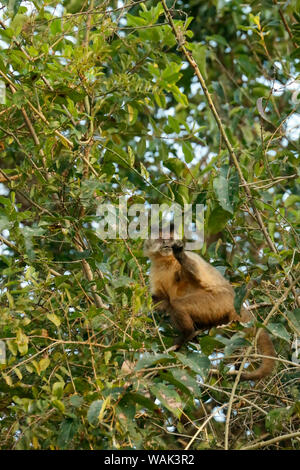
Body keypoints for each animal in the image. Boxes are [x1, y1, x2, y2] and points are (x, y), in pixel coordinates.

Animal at [144, 229, 276, 382]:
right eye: (161, 239)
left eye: (169, 238)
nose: (167, 243)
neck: (165, 262)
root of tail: (234, 300)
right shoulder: (154, 271)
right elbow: (159, 300)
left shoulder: (189, 259)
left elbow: (194, 273)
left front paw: (180, 254)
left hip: (217, 301)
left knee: (177, 304)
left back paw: (187, 333)